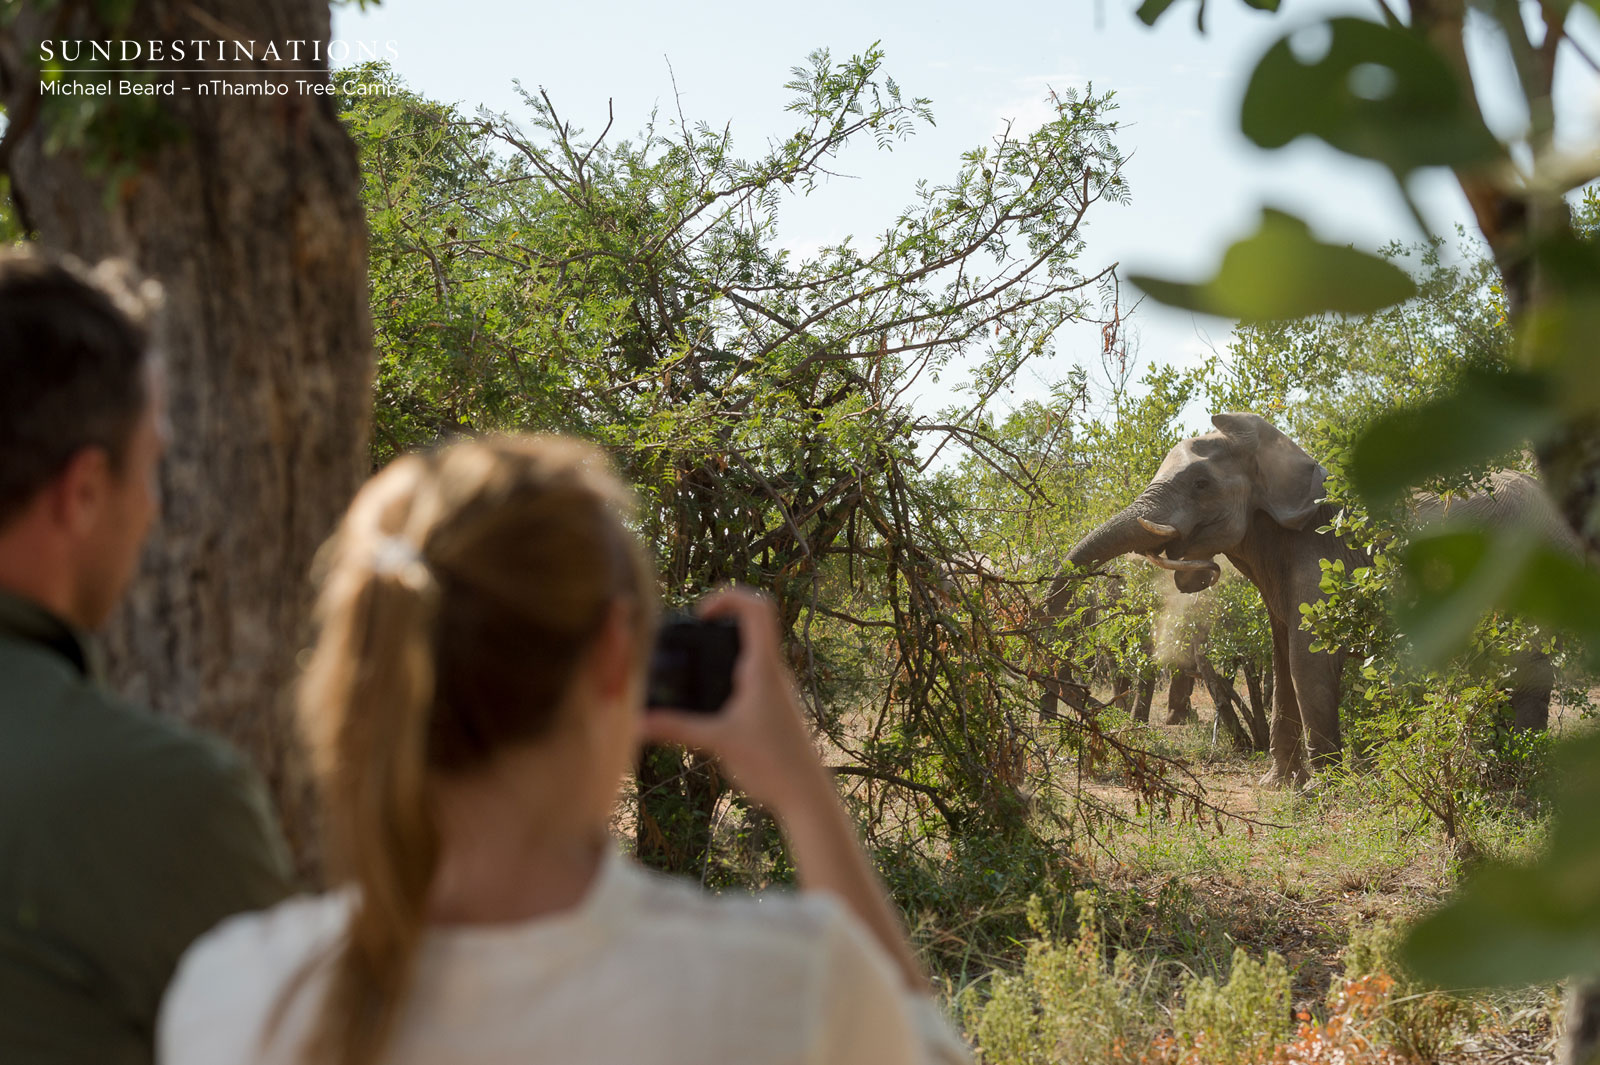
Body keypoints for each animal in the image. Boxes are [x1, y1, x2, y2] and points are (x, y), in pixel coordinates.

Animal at [1057, 411, 1577, 786]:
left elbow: (1308, 660)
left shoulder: (1321, 560)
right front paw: (1275, 785)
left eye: (1201, 484)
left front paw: (1320, 789)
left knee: (1525, 666)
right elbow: (1282, 658)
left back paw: (1517, 771)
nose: (1202, 571)